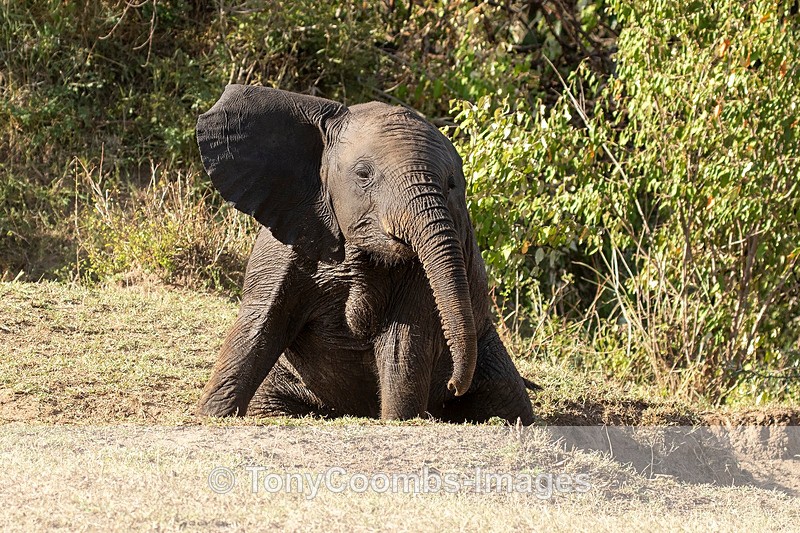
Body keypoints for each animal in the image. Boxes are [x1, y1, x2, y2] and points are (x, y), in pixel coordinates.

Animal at [195, 85, 535, 424]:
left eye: (451, 184)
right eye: (363, 175)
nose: (453, 385)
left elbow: (403, 343)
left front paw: (398, 421)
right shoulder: (287, 238)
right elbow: (260, 322)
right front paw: (212, 414)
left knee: (510, 399)